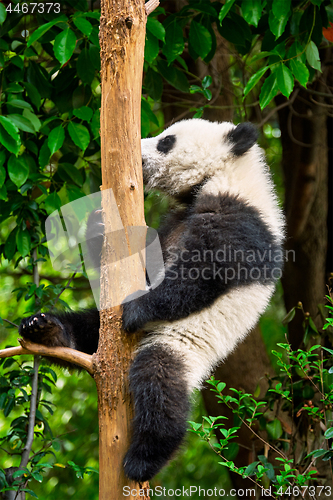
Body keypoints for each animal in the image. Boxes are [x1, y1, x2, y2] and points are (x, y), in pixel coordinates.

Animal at [18, 119, 284, 482]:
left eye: (165, 142)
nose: (138, 153)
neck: (227, 173)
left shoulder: (240, 218)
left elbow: (203, 271)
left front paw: (136, 309)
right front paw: (99, 226)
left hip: (182, 342)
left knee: (159, 383)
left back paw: (143, 459)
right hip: (107, 330)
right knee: (87, 328)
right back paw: (47, 330)